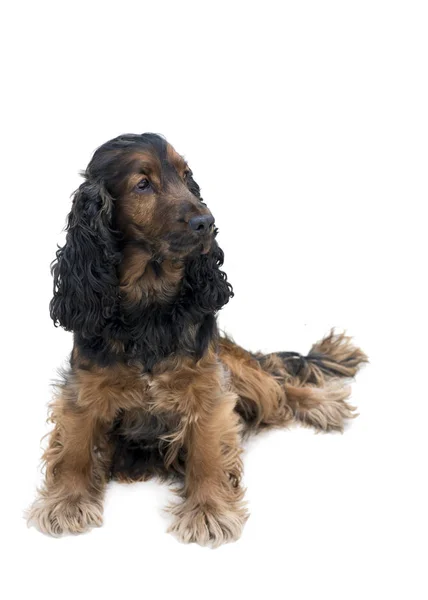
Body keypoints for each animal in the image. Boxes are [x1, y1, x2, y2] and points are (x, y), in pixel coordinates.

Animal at [27, 134, 368, 548]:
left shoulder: (206, 384)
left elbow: (207, 449)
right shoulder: (85, 386)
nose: (206, 222)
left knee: (278, 385)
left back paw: (321, 403)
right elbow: (75, 446)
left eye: (186, 176)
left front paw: (208, 510)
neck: (148, 306)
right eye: (143, 184)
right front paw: (67, 501)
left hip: (235, 364)